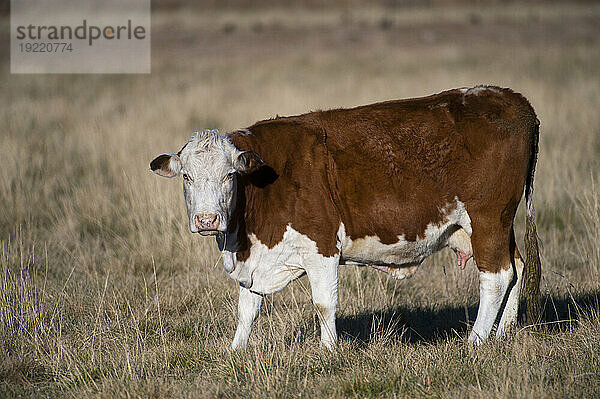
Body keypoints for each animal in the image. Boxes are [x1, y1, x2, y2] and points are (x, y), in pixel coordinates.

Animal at [151, 85, 544, 350]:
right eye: (187, 177)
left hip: (488, 218)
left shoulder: (322, 247)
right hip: (491, 224)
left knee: (496, 276)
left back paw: (475, 341)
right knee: (516, 267)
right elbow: (247, 309)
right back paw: (503, 334)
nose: (207, 220)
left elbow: (324, 304)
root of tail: (512, 99)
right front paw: (236, 351)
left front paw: (328, 351)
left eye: (229, 175)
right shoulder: (256, 259)